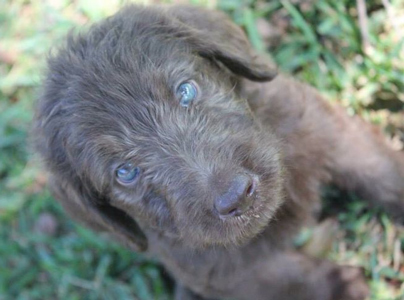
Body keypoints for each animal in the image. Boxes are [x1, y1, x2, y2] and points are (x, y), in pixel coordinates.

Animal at [33, 4, 402, 300]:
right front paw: (344, 285)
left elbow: (378, 169)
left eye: (186, 90)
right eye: (125, 173)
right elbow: (286, 276)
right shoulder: (215, 267)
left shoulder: (324, 129)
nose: (236, 195)